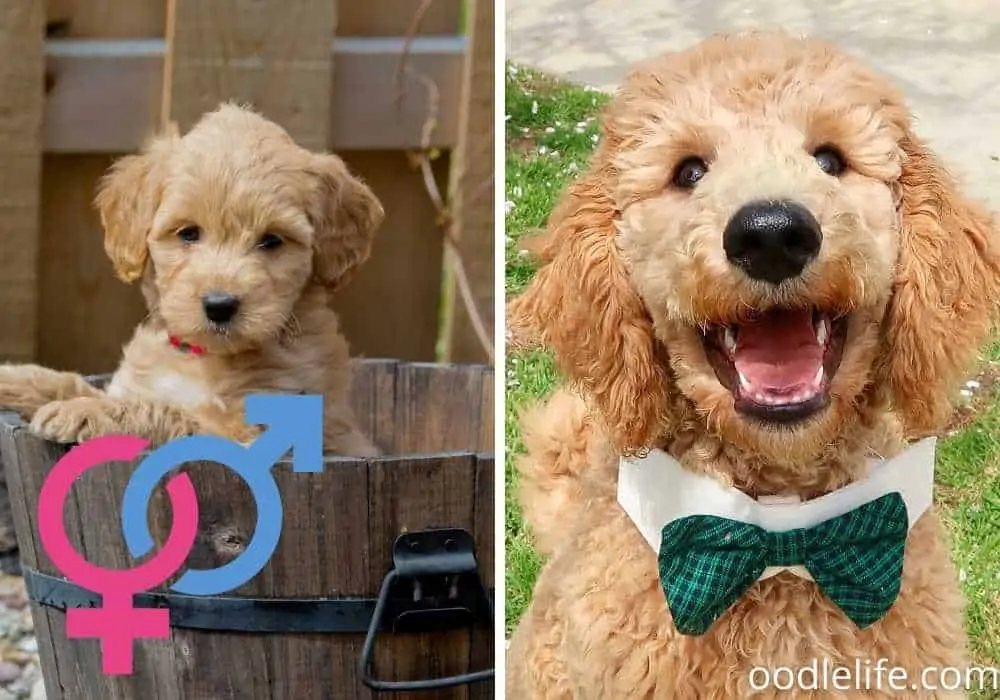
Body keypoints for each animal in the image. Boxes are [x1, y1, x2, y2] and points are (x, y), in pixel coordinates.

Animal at [0, 104, 382, 454]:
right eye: (188, 233)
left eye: (272, 240)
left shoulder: (249, 434)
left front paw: (85, 411)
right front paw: (14, 379)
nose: (219, 305)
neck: (202, 356)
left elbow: (166, 412)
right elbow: (73, 382)